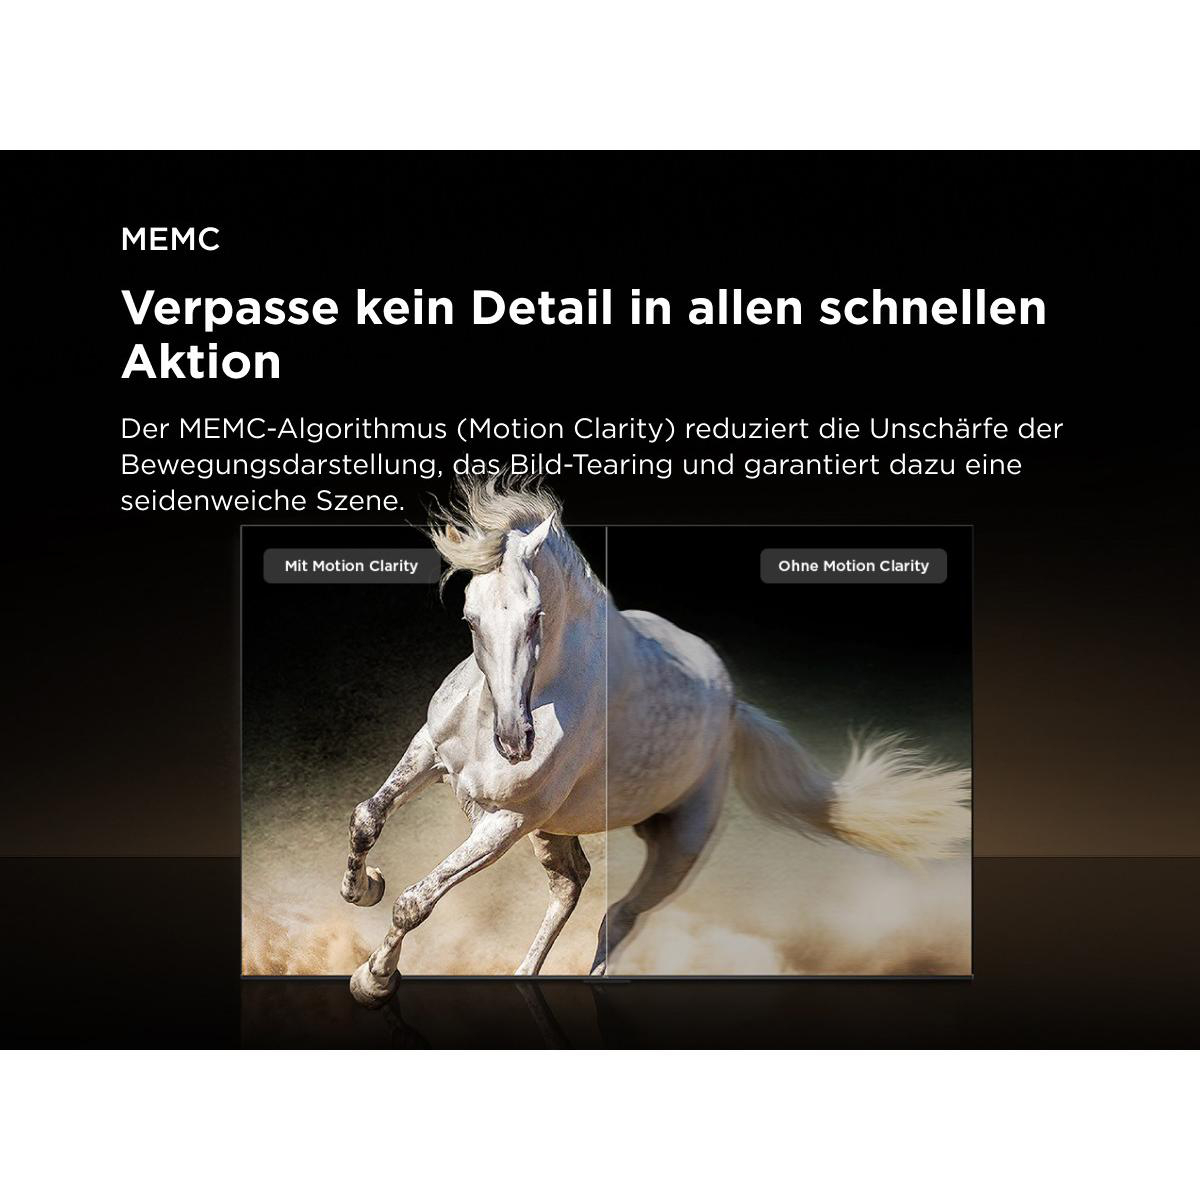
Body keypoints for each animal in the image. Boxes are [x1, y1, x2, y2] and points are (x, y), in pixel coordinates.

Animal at [340, 478, 970, 1005]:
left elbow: (417, 900)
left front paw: (373, 979)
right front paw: (363, 888)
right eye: (469, 619)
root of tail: (733, 708)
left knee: (615, 915)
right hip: (555, 827)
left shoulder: (507, 821)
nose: (515, 742)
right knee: (571, 885)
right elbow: (368, 818)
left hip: (674, 846)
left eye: (537, 615)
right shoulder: (431, 753)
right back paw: (522, 977)